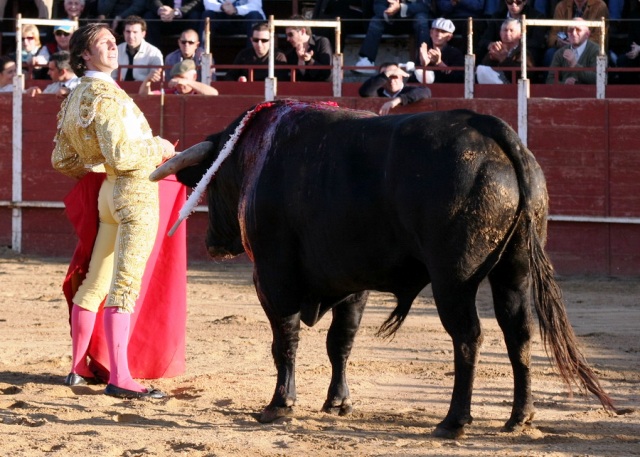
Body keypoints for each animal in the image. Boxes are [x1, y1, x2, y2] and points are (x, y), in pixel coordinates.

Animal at [151, 101, 616, 436]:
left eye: (212, 180)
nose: (212, 244)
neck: (256, 156)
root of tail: (497, 132)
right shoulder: (352, 283)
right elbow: (341, 342)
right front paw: (338, 403)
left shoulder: (272, 277)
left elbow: (285, 340)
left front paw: (279, 406)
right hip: (514, 272)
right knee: (518, 332)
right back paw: (519, 418)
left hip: (453, 279)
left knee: (468, 336)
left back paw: (453, 422)